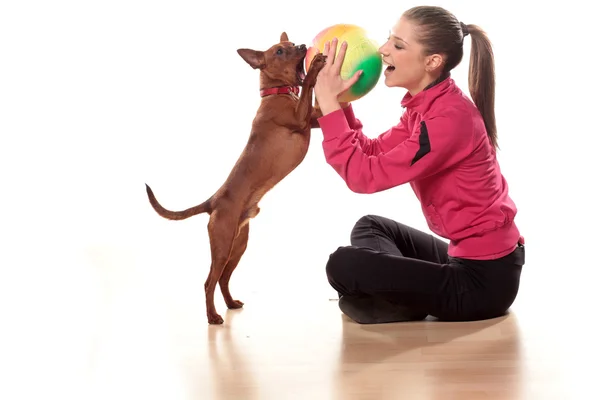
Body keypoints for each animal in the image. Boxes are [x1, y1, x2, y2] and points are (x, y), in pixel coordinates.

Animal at [146, 32, 328, 324]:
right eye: (280, 51)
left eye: (291, 46)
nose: (301, 46)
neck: (277, 94)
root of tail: (213, 201)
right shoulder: (300, 119)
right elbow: (308, 88)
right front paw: (315, 67)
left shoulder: (314, 119)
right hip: (222, 247)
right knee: (209, 282)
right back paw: (213, 316)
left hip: (238, 247)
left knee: (222, 279)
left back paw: (230, 304)